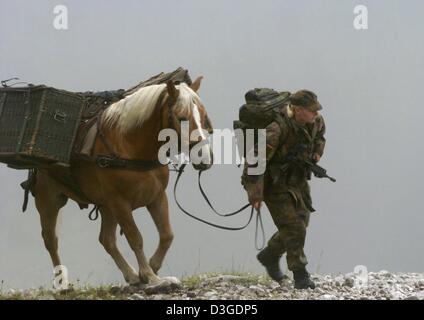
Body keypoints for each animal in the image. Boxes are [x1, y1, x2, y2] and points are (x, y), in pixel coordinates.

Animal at [31, 77, 214, 288]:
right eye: (182, 117)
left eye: (204, 116)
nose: (205, 158)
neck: (131, 146)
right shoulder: (120, 203)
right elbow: (135, 238)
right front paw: (150, 276)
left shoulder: (156, 197)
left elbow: (167, 235)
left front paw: (152, 267)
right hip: (49, 200)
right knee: (50, 240)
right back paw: (62, 283)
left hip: (105, 207)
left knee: (106, 240)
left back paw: (131, 274)